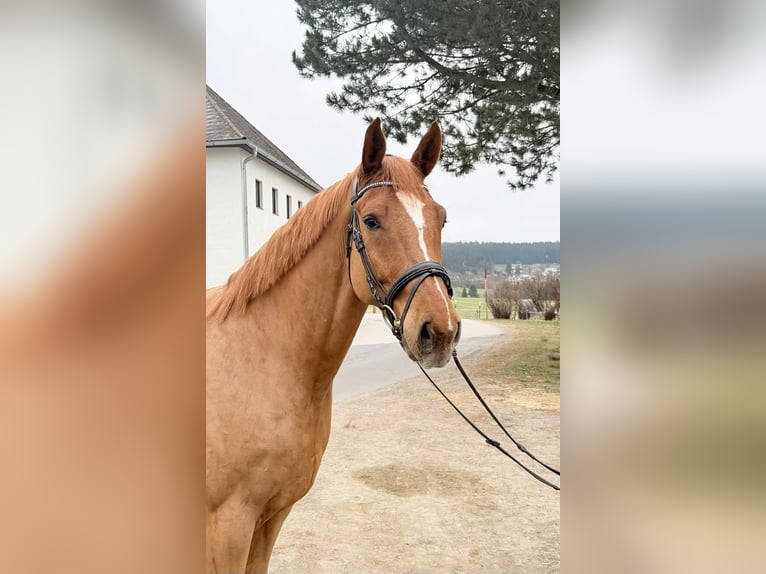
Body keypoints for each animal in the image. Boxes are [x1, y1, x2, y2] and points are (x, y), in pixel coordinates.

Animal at [205, 118, 461, 573]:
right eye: (372, 221)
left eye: (441, 219)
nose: (440, 331)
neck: (264, 359)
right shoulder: (228, 526)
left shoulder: (272, 516)